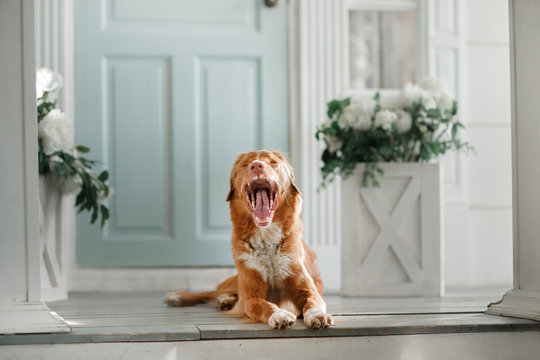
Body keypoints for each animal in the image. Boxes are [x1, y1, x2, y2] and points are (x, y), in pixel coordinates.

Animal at [165, 150, 334, 330]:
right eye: (245, 164)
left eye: (272, 162)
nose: (257, 165)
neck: (266, 238)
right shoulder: (251, 295)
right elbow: (265, 305)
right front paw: (279, 315)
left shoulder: (306, 287)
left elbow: (312, 302)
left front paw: (317, 315)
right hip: (237, 279)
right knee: (215, 291)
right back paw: (185, 297)